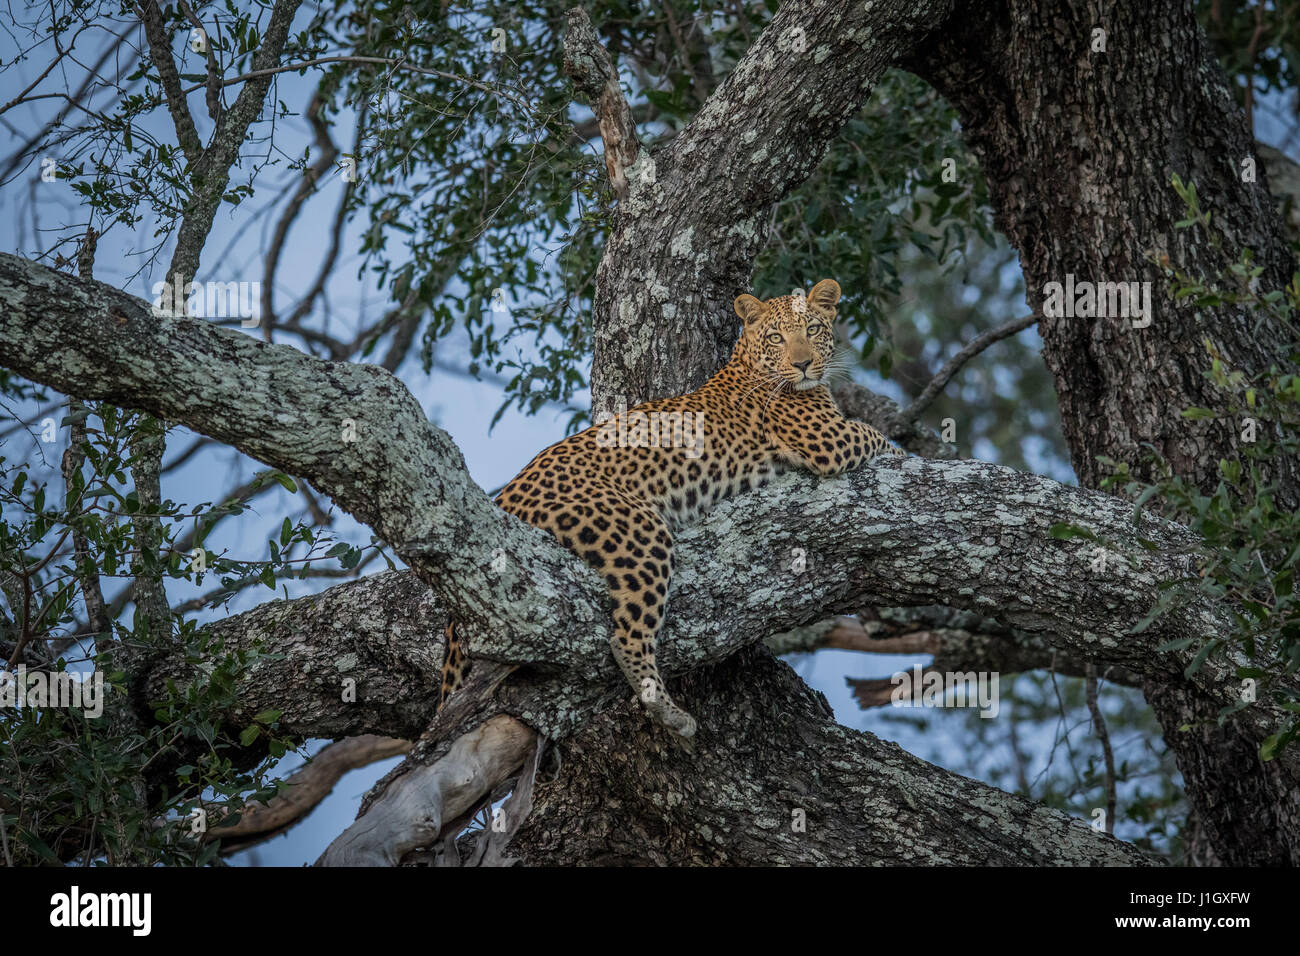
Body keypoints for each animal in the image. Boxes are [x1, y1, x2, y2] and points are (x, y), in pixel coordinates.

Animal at [439, 278, 904, 742]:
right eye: (777, 338)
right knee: (626, 636)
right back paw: (671, 714)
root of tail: (506, 495)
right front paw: (905, 452)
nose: (804, 364)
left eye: (812, 329)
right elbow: (878, 436)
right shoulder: (830, 440)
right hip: (639, 532)